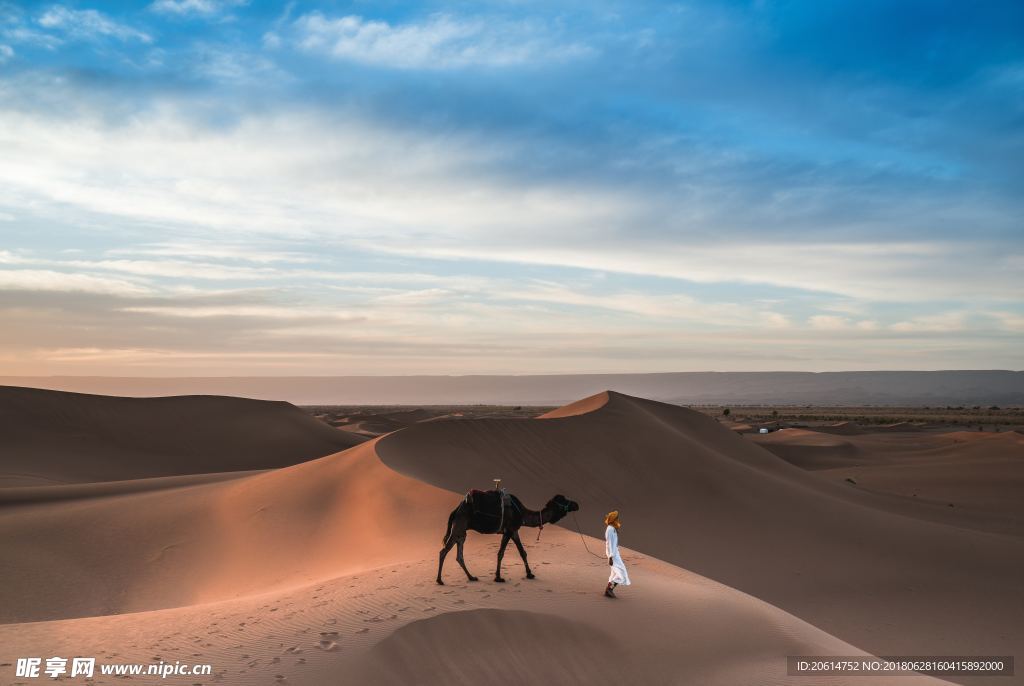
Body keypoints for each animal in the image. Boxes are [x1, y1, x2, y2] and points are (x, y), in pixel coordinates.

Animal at [434, 489, 581, 585]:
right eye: (563, 500)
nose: (576, 504)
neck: (522, 512)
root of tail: (456, 510)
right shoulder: (509, 530)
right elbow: (501, 553)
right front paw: (498, 577)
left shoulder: (514, 531)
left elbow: (522, 552)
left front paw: (530, 574)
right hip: (459, 526)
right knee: (443, 552)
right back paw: (440, 580)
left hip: (462, 532)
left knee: (459, 555)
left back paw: (471, 577)